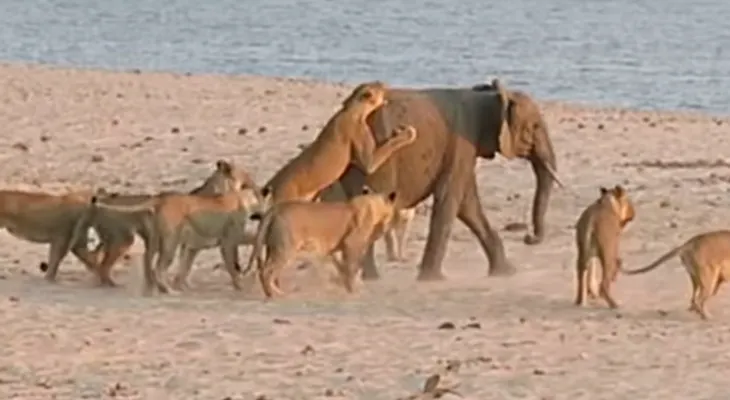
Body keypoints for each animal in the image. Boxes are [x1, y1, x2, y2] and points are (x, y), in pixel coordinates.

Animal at [242, 187, 400, 299]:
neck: (373, 204)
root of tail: (274, 209)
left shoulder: (334, 249)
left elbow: (342, 268)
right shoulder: (351, 244)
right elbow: (351, 269)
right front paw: (353, 292)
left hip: (272, 248)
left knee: (267, 270)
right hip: (285, 250)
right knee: (266, 271)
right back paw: (274, 295)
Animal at [261, 81, 417, 205]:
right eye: (378, 86)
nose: (384, 83)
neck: (351, 109)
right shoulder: (368, 160)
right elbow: (388, 147)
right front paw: (408, 134)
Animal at [332, 79, 563, 281]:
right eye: (535, 126)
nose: (529, 238)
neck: (489, 95)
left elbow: (468, 205)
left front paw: (506, 273)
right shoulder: (461, 143)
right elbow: (450, 197)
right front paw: (432, 279)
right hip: (377, 157)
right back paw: (372, 278)